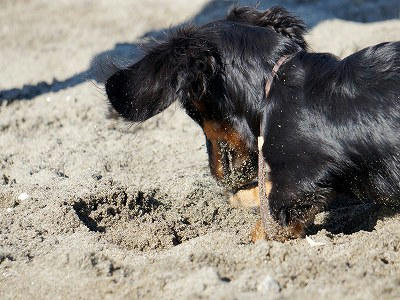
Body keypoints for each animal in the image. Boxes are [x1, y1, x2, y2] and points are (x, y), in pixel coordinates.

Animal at [105, 6, 400, 241]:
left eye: (190, 109)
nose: (216, 175)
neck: (274, 84)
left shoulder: (294, 190)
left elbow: (265, 223)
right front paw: (239, 197)